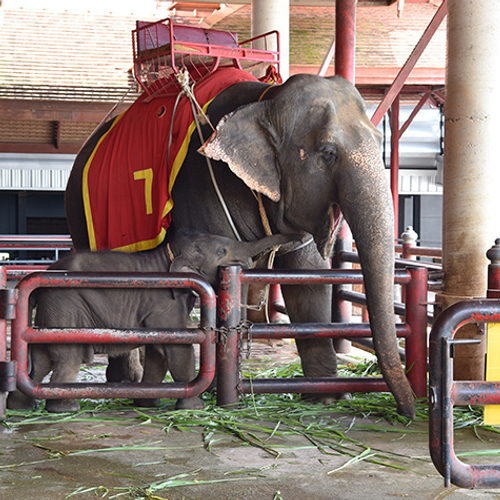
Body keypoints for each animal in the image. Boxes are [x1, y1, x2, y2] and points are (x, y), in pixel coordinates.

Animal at [8, 232, 300, 412]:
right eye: (221, 250)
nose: (301, 238)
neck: (168, 254)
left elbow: (159, 349)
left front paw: (148, 403)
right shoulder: (163, 299)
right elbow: (177, 347)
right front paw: (194, 407)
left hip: (50, 313)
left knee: (41, 361)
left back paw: (22, 406)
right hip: (66, 307)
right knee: (68, 357)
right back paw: (65, 407)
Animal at [63, 69, 414, 418]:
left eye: (381, 142)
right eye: (328, 153)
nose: (407, 412)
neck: (266, 100)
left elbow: (310, 280)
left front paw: (327, 398)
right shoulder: (204, 187)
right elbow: (228, 279)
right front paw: (227, 396)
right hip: (81, 213)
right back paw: (126, 381)